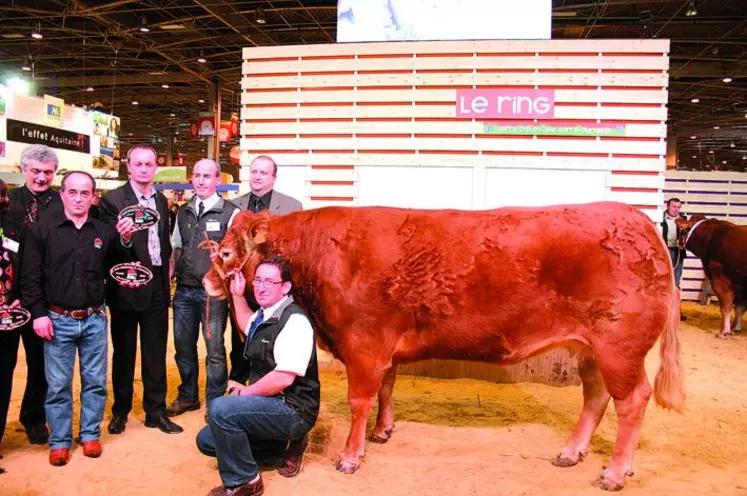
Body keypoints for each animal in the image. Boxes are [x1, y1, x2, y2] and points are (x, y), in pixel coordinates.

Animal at [203, 202, 684, 492]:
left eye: (225, 254)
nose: (207, 282)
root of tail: (638, 220)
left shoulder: (363, 345)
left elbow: (360, 399)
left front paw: (351, 457)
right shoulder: (384, 349)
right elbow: (387, 388)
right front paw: (383, 431)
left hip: (620, 348)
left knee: (632, 401)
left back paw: (615, 472)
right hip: (592, 351)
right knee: (596, 396)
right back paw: (571, 453)